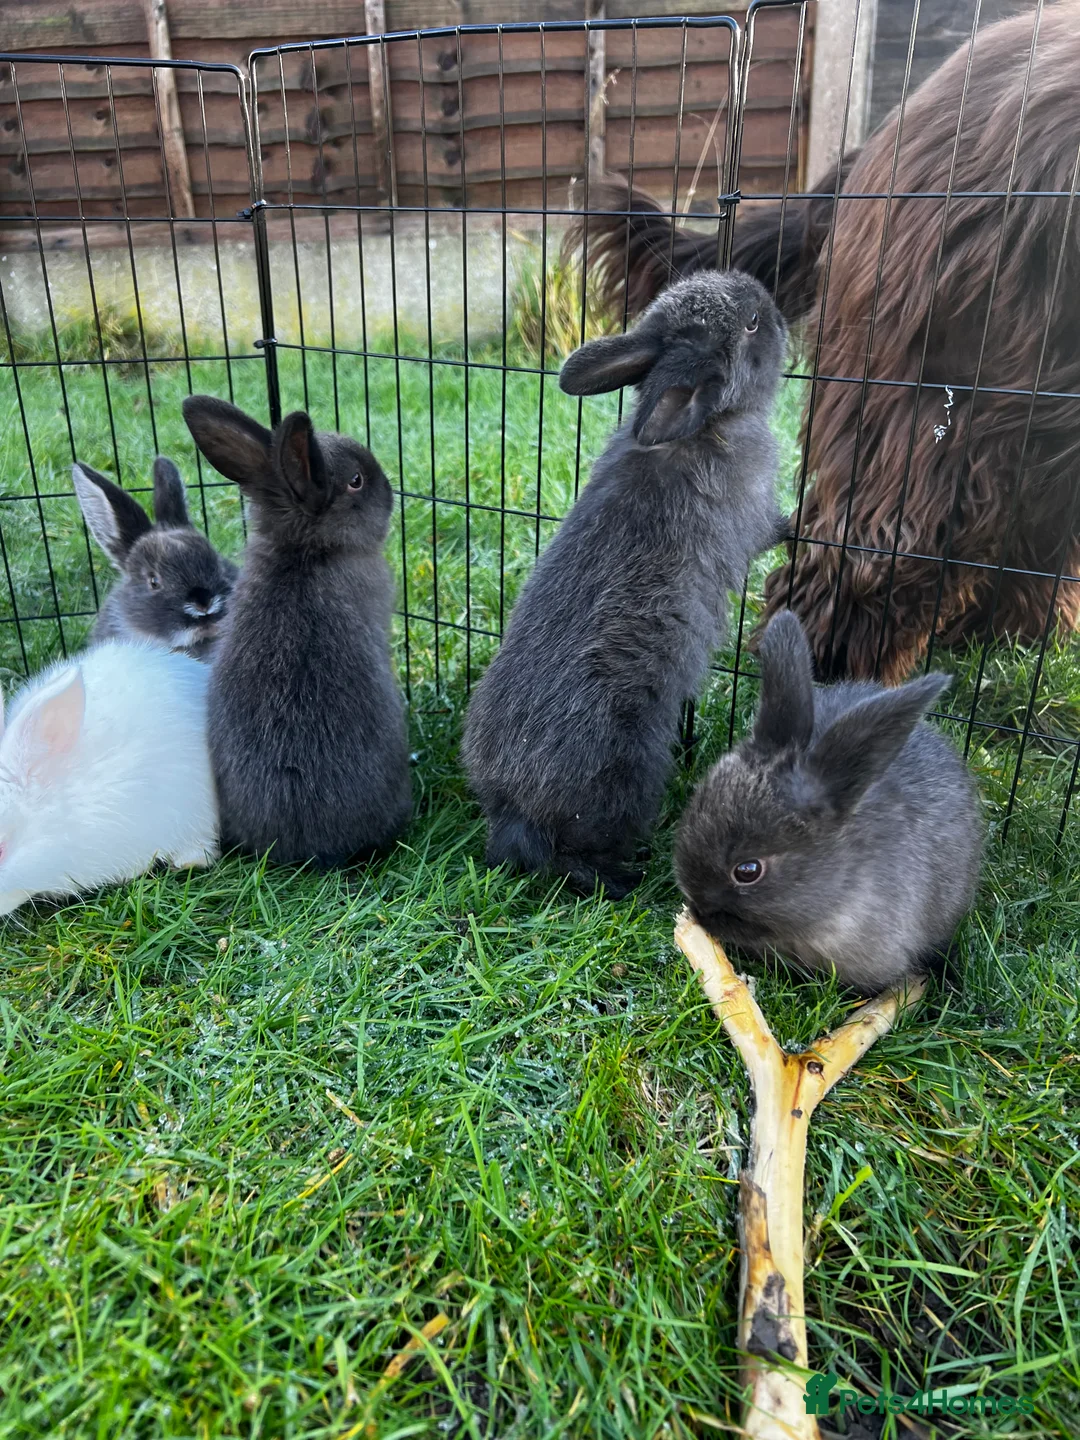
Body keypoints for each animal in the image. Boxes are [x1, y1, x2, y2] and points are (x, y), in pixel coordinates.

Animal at [462, 269, 789, 899]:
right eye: (752, 324)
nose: (779, 311)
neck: (701, 429)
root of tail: (516, 814)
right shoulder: (754, 518)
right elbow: (775, 529)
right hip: (628, 776)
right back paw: (625, 878)